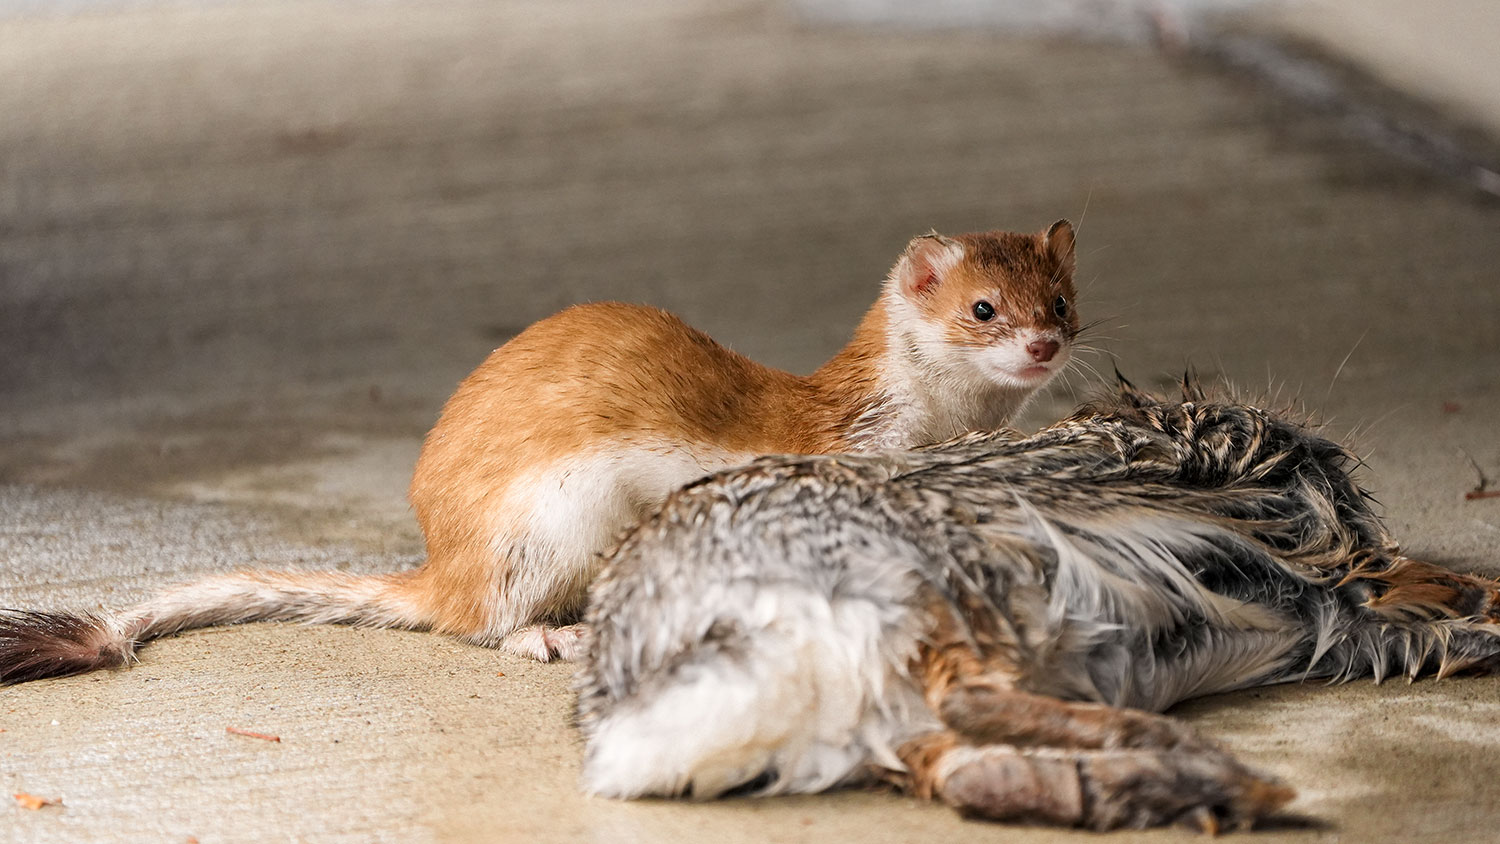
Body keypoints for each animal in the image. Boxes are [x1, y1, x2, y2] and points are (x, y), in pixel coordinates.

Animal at [0, 220, 1080, 680]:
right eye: (984, 308)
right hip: (552, 518)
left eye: (1062, 301)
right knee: (482, 623)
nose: (1044, 344)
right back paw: (550, 637)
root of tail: (443, 560)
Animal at [576, 380, 1500, 833]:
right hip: (942, 584)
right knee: (973, 700)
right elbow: (1376, 586)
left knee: (969, 765)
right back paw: (1215, 770)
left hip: (894, 703)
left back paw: (1178, 789)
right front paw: (1474, 605)